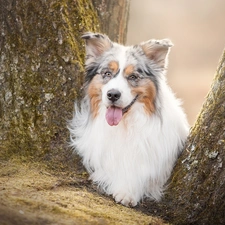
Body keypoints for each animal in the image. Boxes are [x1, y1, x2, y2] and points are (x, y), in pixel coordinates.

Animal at [68, 32, 188, 207]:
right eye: (107, 73)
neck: (125, 124)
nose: (112, 94)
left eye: (133, 76)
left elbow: (140, 172)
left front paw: (127, 192)